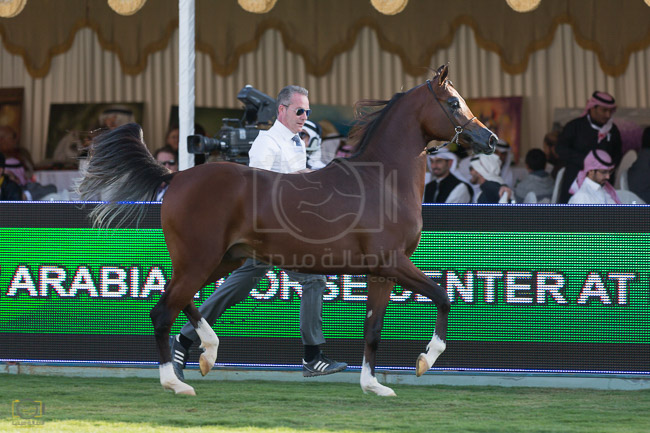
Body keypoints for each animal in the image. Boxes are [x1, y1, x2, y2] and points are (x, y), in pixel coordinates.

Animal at [78, 64, 496, 397]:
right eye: (454, 103)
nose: (489, 140)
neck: (381, 183)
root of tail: (177, 176)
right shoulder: (393, 263)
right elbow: (443, 296)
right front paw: (426, 359)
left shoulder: (381, 273)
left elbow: (373, 330)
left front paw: (373, 386)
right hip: (202, 259)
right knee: (163, 310)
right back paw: (176, 382)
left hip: (220, 260)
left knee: (180, 300)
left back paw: (208, 352)